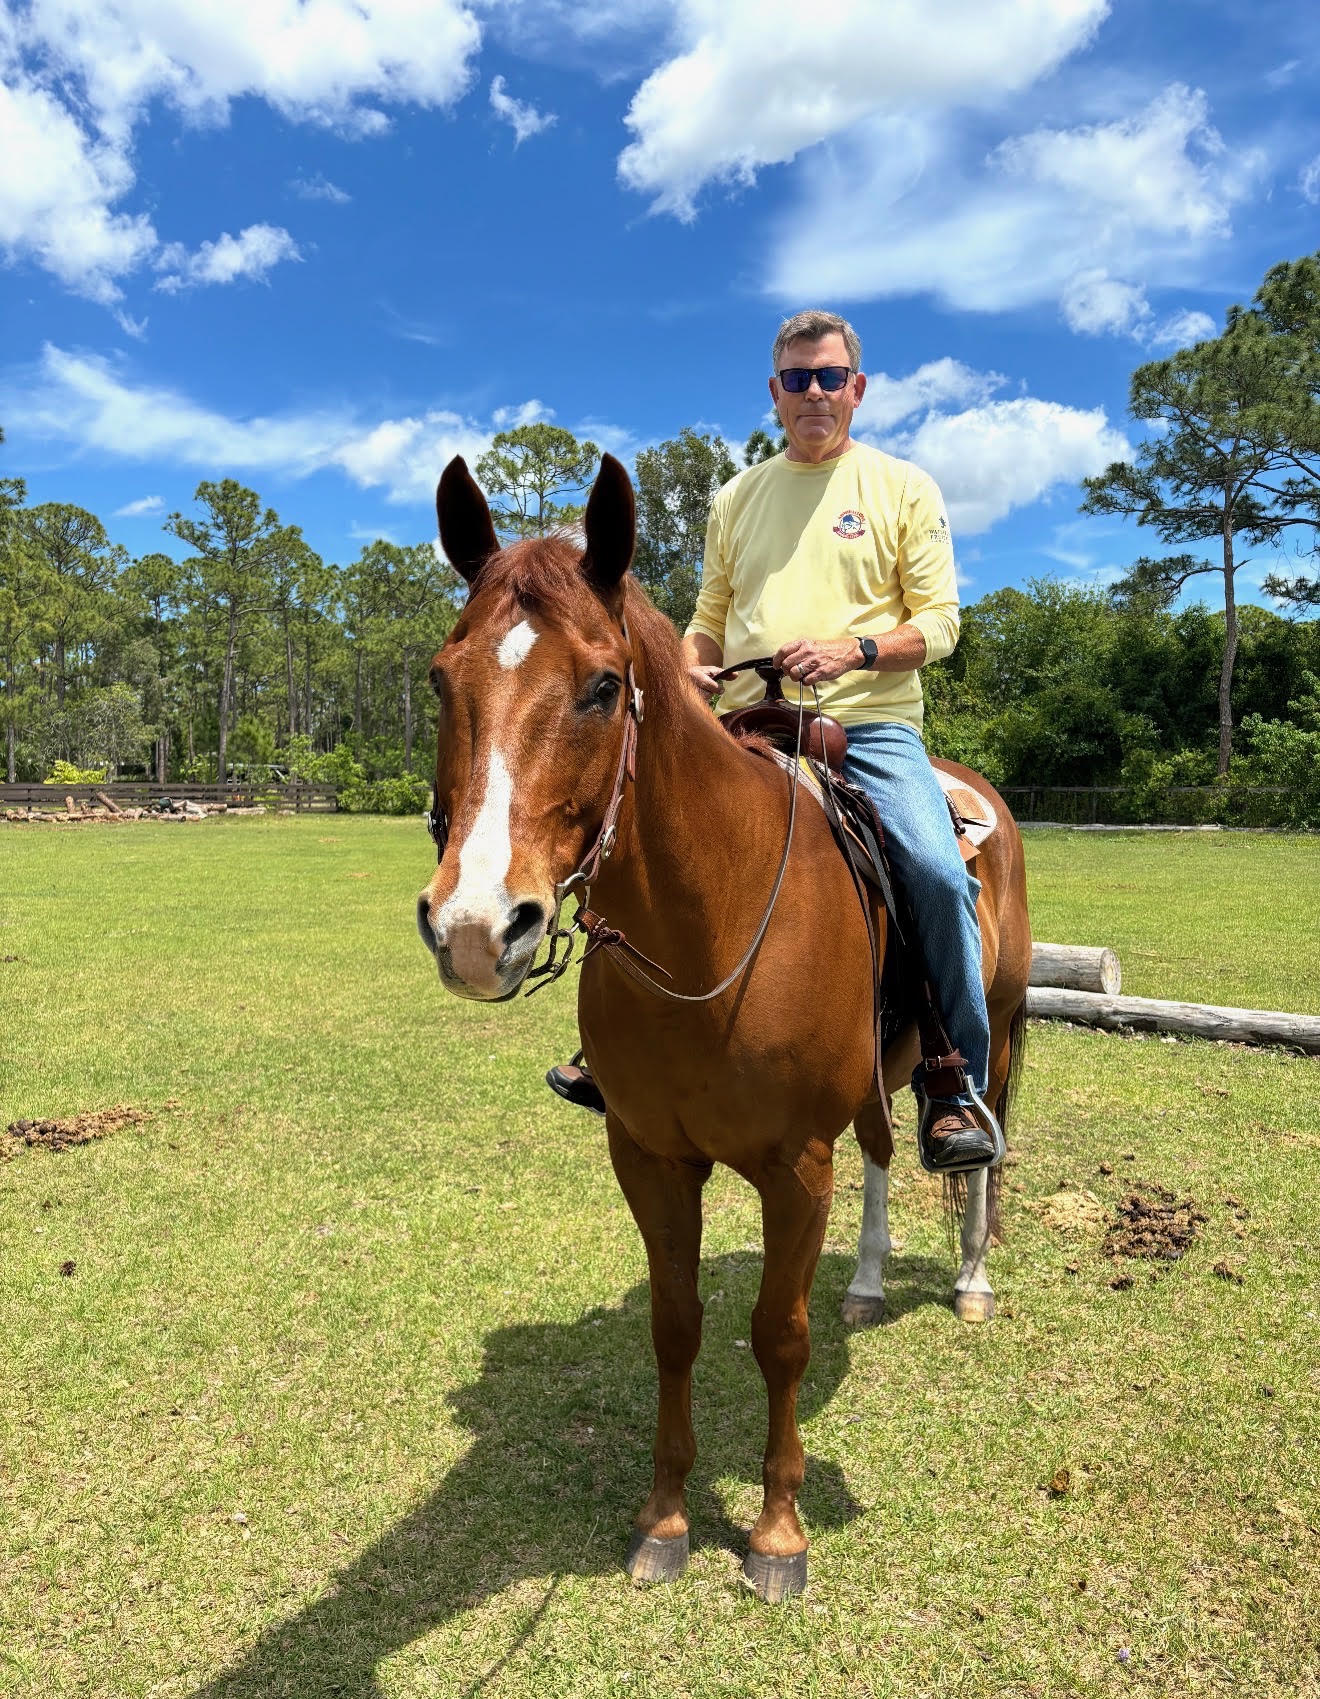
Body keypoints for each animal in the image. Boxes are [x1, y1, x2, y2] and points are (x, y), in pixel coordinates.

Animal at [417, 452, 1032, 1602]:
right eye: (441, 680)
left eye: (602, 685)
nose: (477, 925)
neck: (715, 925)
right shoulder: (651, 1156)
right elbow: (677, 1328)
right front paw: (664, 1516)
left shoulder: (794, 1165)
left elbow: (777, 1336)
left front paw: (777, 1533)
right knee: (882, 1150)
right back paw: (869, 1281)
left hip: (1001, 1026)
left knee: (982, 1142)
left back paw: (970, 1273)